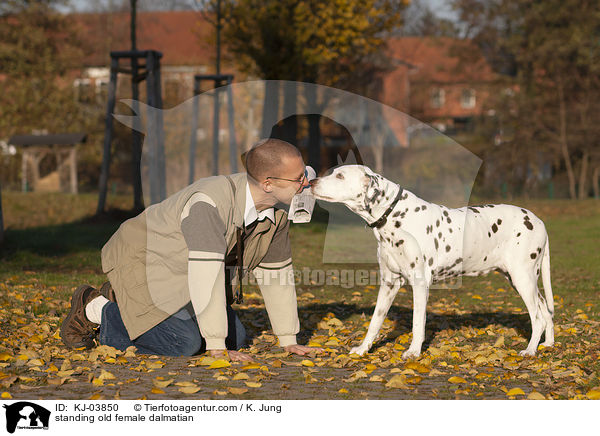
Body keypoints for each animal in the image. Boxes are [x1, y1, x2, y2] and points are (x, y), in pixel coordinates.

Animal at [312, 165, 556, 360]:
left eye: (340, 176)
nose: (312, 181)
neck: (395, 215)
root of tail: (539, 222)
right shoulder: (389, 284)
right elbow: (374, 322)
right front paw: (363, 349)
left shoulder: (420, 284)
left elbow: (417, 323)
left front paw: (413, 352)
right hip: (521, 281)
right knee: (546, 311)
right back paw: (548, 343)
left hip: (522, 279)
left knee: (538, 318)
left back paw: (530, 350)